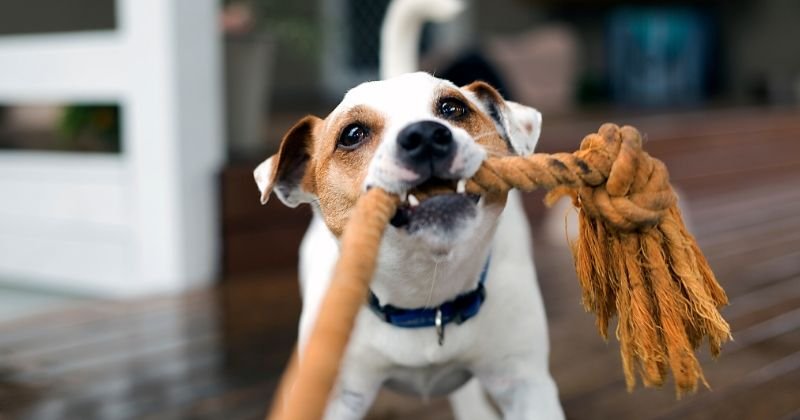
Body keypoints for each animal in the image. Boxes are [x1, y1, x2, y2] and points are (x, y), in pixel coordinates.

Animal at [255, 3, 564, 420]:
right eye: (352, 134)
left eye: (452, 107)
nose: (426, 136)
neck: (426, 298)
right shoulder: (337, 398)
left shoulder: (526, 385)